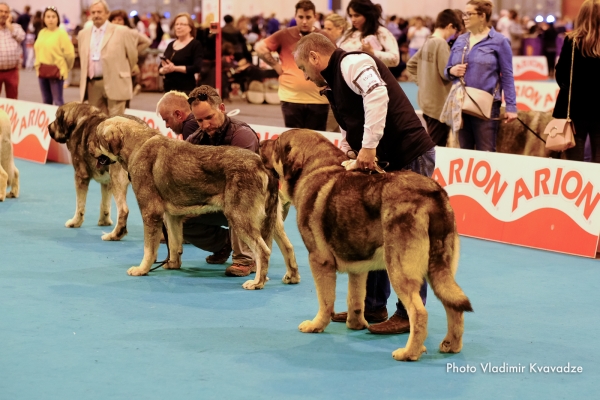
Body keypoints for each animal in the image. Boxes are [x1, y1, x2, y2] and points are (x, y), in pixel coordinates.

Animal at [93, 117, 300, 290]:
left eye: (96, 139)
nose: (88, 147)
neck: (137, 144)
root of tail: (262, 164)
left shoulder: (150, 212)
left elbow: (149, 248)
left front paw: (142, 269)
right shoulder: (172, 217)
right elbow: (174, 244)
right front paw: (172, 264)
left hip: (240, 218)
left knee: (263, 251)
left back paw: (257, 282)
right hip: (272, 221)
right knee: (288, 247)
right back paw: (292, 277)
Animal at [260, 130, 476, 360]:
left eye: (276, 143)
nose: (261, 142)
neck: (314, 167)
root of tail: (433, 196)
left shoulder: (319, 260)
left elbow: (325, 300)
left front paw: (316, 325)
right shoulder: (358, 267)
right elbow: (355, 298)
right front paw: (356, 324)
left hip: (399, 269)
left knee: (419, 313)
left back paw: (409, 352)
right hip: (440, 269)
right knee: (453, 306)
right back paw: (451, 345)